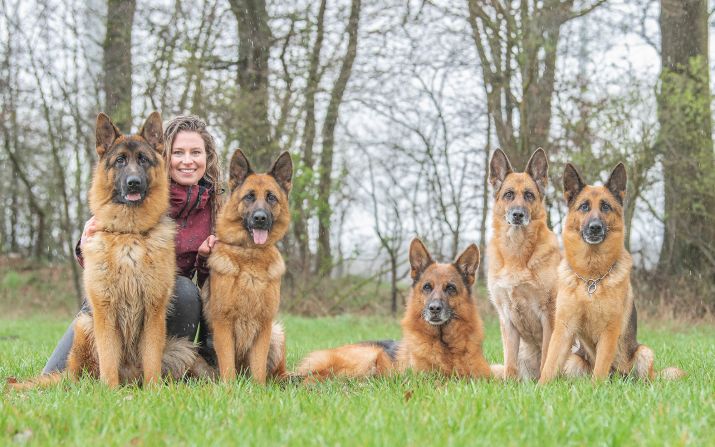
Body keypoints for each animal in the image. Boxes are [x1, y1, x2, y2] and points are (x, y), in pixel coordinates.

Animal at [201, 149, 290, 384]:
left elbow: (258, 367)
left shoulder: (264, 325)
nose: (260, 218)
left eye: (271, 197)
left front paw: (258, 389)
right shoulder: (223, 325)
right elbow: (228, 367)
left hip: (277, 334)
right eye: (249, 196)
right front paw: (230, 389)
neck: (250, 256)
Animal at [296, 238, 492, 382]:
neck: (445, 345)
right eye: (427, 287)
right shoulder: (425, 379)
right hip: (368, 357)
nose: (434, 308)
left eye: (450, 288)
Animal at [490, 149, 564, 380]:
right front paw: (510, 384)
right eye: (509, 194)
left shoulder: (549, 314)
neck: (517, 254)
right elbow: (510, 362)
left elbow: (547, 353)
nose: (518, 215)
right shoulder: (506, 318)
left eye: (529, 195)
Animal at [540, 164, 684, 384]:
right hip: (573, 361)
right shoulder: (563, 329)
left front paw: (596, 389)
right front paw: (539, 387)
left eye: (606, 206)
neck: (591, 278)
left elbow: (600, 369)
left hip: (644, 353)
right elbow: (549, 364)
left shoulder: (609, 330)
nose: (595, 227)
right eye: (584, 206)